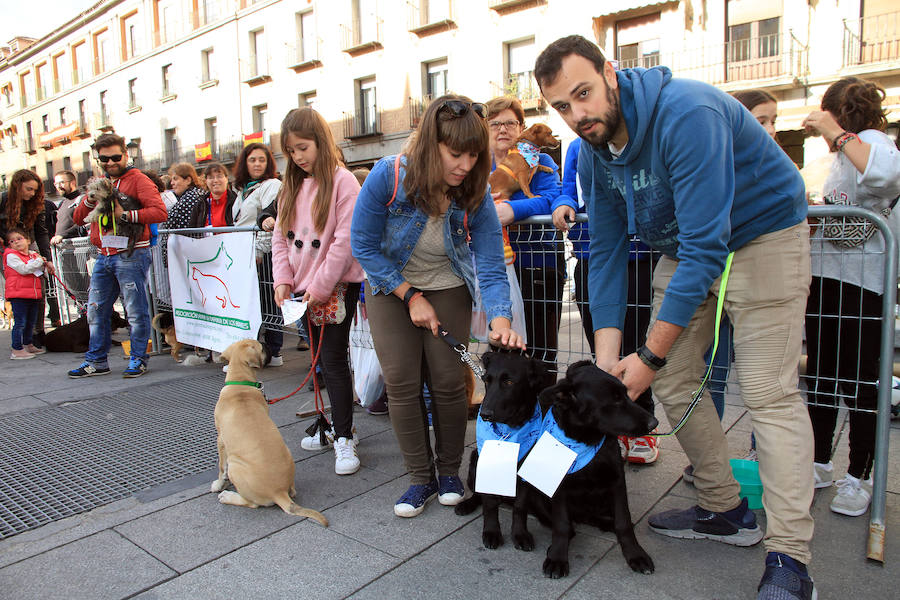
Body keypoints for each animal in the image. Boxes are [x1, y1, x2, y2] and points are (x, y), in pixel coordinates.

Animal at [209, 340, 328, 528]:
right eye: (261, 347)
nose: (265, 343)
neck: (240, 383)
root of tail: (279, 492)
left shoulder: (220, 439)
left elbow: (221, 467)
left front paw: (218, 484)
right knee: (293, 492)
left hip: (237, 466)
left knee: (252, 503)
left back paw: (228, 496)